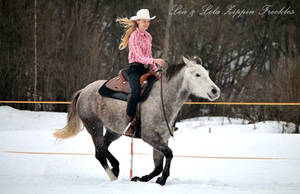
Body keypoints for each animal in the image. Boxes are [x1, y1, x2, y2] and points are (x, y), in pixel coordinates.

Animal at [54, 55, 219, 185]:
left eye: (206, 73)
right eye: (197, 74)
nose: (215, 91)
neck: (163, 98)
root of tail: (84, 91)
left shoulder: (162, 137)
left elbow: (159, 163)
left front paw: (142, 178)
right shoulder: (149, 136)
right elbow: (169, 154)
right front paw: (162, 179)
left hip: (114, 130)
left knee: (104, 147)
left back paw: (116, 167)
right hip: (94, 126)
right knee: (99, 152)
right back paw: (113, 175)